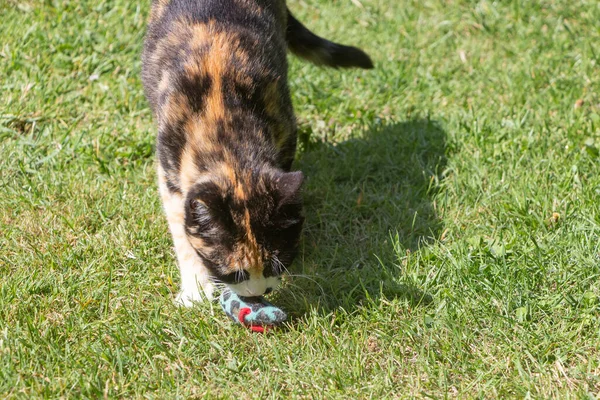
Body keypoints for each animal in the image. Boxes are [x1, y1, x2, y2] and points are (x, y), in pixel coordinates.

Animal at [142, 0, 372, 306]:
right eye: (234, 273)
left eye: (276, 264)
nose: (258, 294)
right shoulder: (169, 163)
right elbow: (181, 230)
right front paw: (195, 289)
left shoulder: (284, 124)